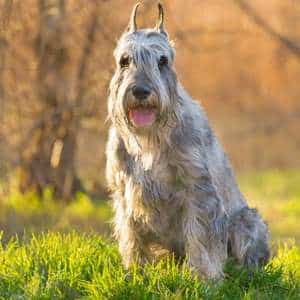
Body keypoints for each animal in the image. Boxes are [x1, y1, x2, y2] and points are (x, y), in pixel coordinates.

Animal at [105, 2, 270, 278]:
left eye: (162, 60)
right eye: (124, 60)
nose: (141, 91)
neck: (151, 138)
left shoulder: (198, 191)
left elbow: (201, 238)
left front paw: (203, 277)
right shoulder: (123, 193)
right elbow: (131, 237)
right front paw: (135, 271)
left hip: (247, 221)